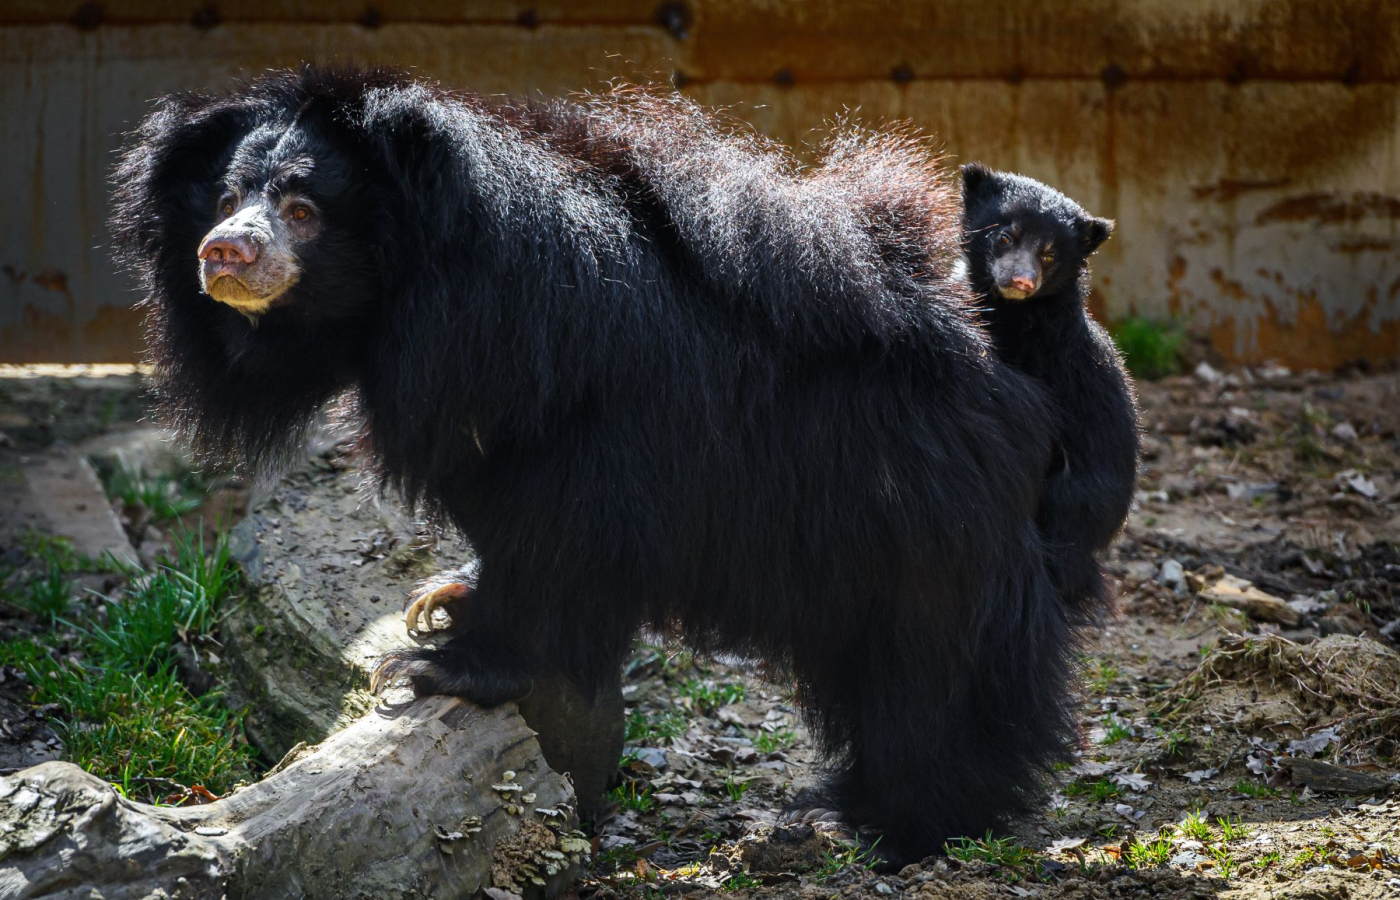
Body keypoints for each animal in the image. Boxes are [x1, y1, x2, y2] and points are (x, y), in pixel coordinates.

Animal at [117, 65, 1080, 867]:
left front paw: (444, 666)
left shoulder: (573, 412)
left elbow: (560, 541)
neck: (417, 296)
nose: (224, 252)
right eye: (226, 195)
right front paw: (443, 598)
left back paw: (891, 821)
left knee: (932, 671)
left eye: (303, 209)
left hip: (915, 516)